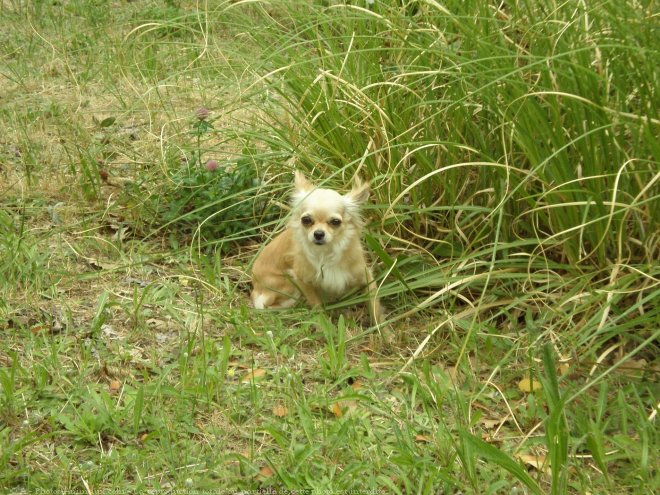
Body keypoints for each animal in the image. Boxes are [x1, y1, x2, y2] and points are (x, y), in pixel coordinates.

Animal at [253, 170, 386, 326]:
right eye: (306, 220)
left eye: (335, 222)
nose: (318, 234)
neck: (326, 252)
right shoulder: (302, 279)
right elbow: (317, 305)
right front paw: (326, 326)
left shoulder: (366, 277)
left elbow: (375, 309)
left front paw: (383, 330)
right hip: (288, 285)